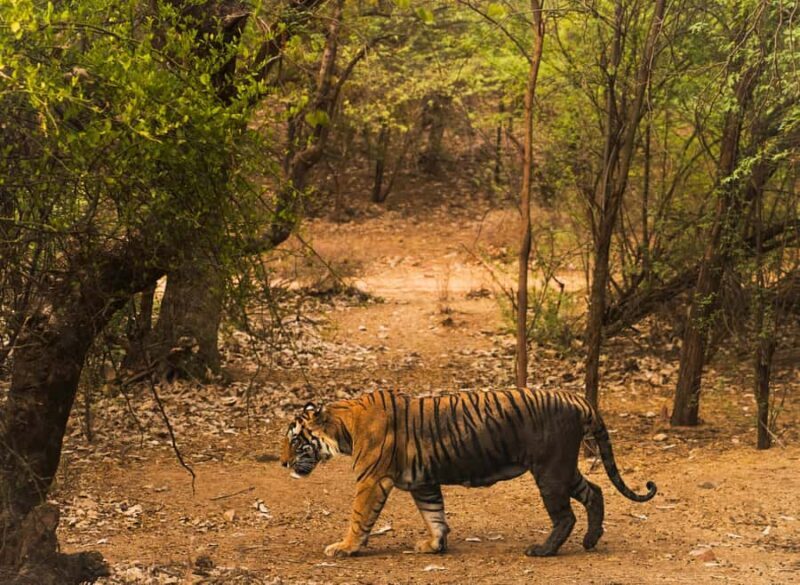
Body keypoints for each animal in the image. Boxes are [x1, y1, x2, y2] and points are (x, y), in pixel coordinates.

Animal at [280, 388, 656, 558]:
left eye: (295, 440)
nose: (282, 463)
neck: (344, 427)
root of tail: (578, 398)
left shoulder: (371, 480)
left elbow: (359, 517)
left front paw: (345, 547)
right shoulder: (423, 481)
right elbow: (434, 514)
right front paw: (434, 544)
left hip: (550, 471)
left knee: (565, 515)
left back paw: (543, 550)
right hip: (563, 468)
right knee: (595, 492)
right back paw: (591, 540)